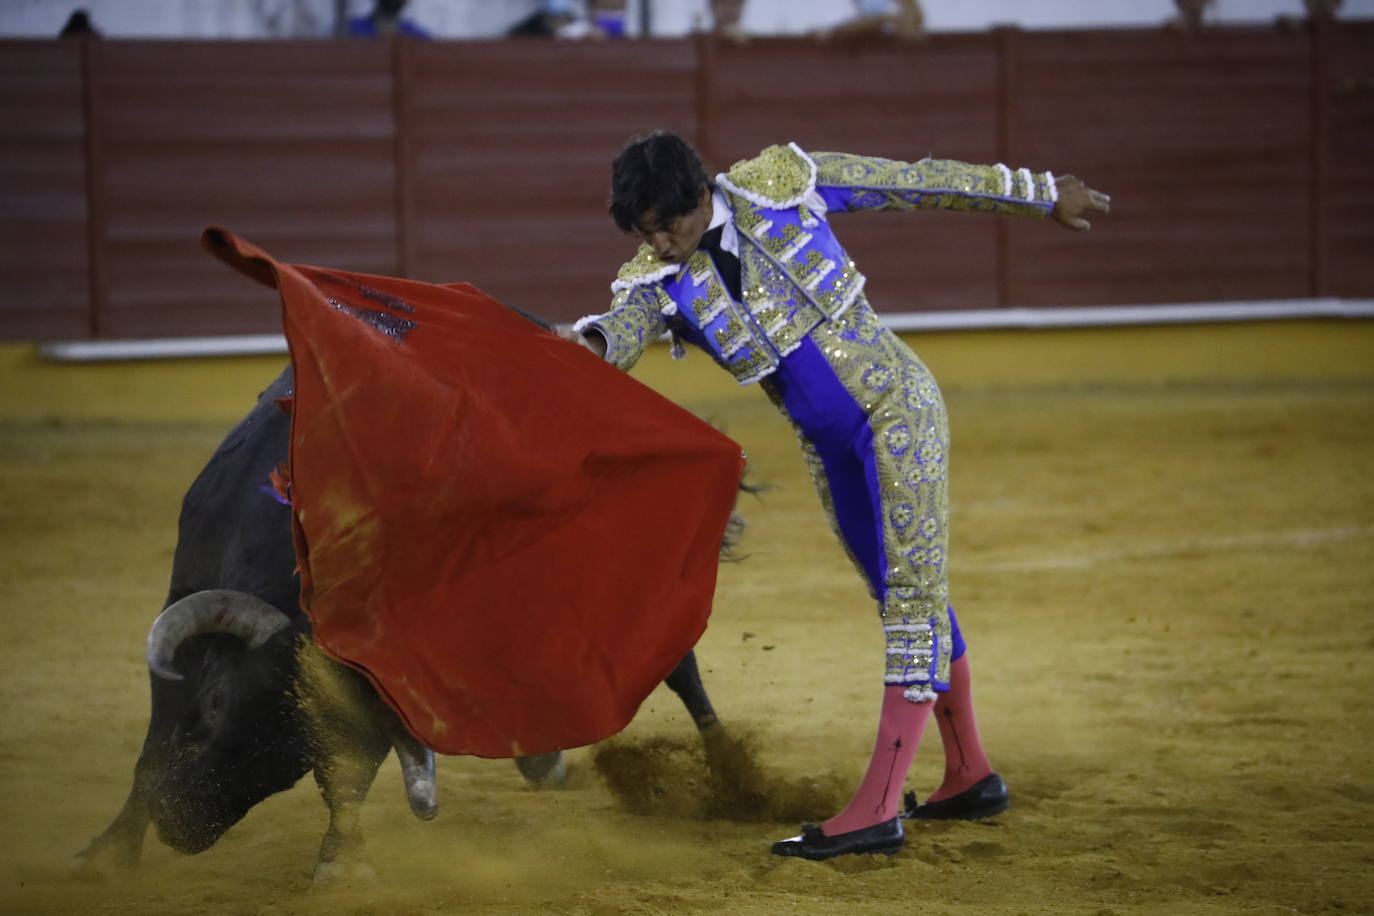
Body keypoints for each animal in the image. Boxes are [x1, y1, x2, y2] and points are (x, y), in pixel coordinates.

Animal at [73, 359, 725, 878]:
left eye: (293, 762)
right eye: (213, 705)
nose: (180, 822)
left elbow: (350, 774)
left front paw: (340, 862)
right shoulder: (183, 609)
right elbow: (154, 741)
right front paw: (109, 852)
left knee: (677, 665)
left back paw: (728, 776)